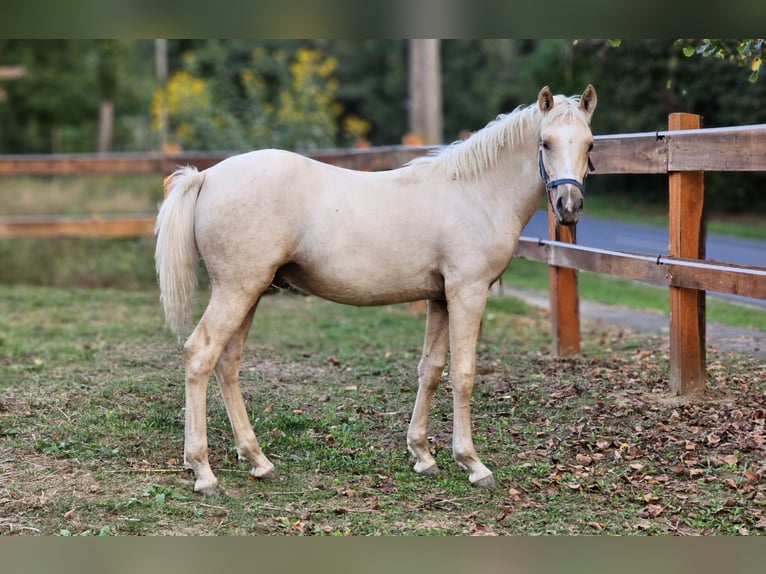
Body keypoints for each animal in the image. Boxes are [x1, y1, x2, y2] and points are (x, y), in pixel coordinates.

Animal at [156, 84, 600, 496]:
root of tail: (207, 176)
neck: (475, 190)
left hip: (249, 292)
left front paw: (422, 455)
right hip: (236, 291)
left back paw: (258, 460)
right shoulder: (467, 293)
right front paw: (473, 463)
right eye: (545, 142)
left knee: (227, 364)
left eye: (590, 143)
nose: (569, 207)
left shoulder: (439, 298)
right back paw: (203, 472)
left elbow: (430, 370)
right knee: (200, 355)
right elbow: (464, 373)